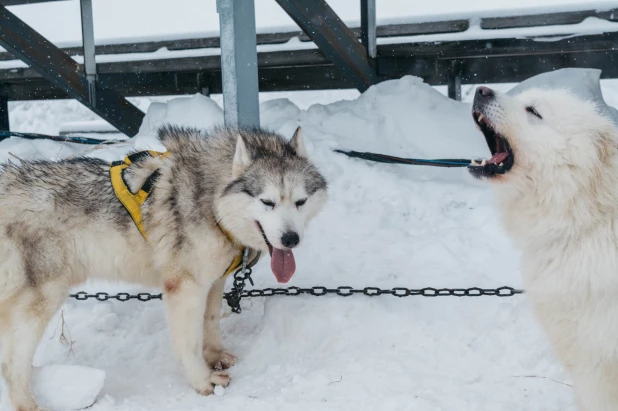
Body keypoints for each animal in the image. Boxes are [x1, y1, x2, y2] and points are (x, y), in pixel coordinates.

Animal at [0, 125, 322, 411]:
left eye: (300, 201)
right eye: (267, 202)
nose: (291, 239)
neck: (211, 202)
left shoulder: (212, 282)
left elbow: (211, 322)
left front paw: (215, 355)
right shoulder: (185, 288)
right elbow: (189, 344)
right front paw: (204, 382)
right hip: (42, 300)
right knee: (11, 364)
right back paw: (31, 404)